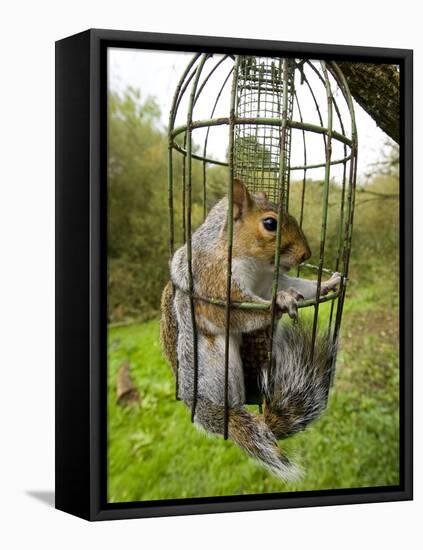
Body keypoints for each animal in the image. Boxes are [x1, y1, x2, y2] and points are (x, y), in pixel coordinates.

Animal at [161, 179, 342, 480]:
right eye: (270, 223)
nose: (306, 254)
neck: (256, 265)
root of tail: (200, 405)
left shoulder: (272, 279)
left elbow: (298, 286)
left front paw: (327, 283)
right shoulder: (214, 280)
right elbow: (236, 311)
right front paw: (281, 301)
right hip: (217, 367)